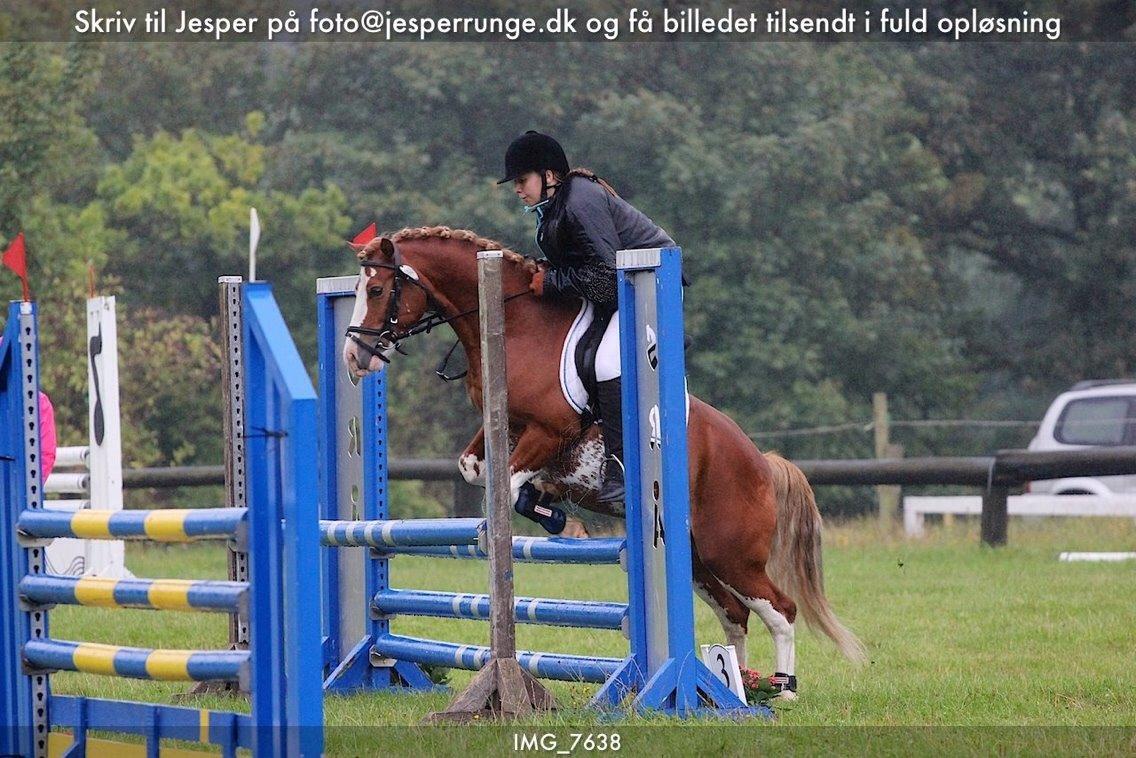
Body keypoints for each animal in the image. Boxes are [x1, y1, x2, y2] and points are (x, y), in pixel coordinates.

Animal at [340, 227, 863, 700]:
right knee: (736, 615)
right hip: (696, 556)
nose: (353, 358)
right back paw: (736, 687)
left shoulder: (550, 431)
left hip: (729, 551)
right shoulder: (499, 428)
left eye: (377, 290)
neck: (516, 325)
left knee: (781, 609)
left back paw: (783, 689)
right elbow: (476, 469)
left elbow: (507, 482)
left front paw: (536, 511)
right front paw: (545, 503)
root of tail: (761, 461)